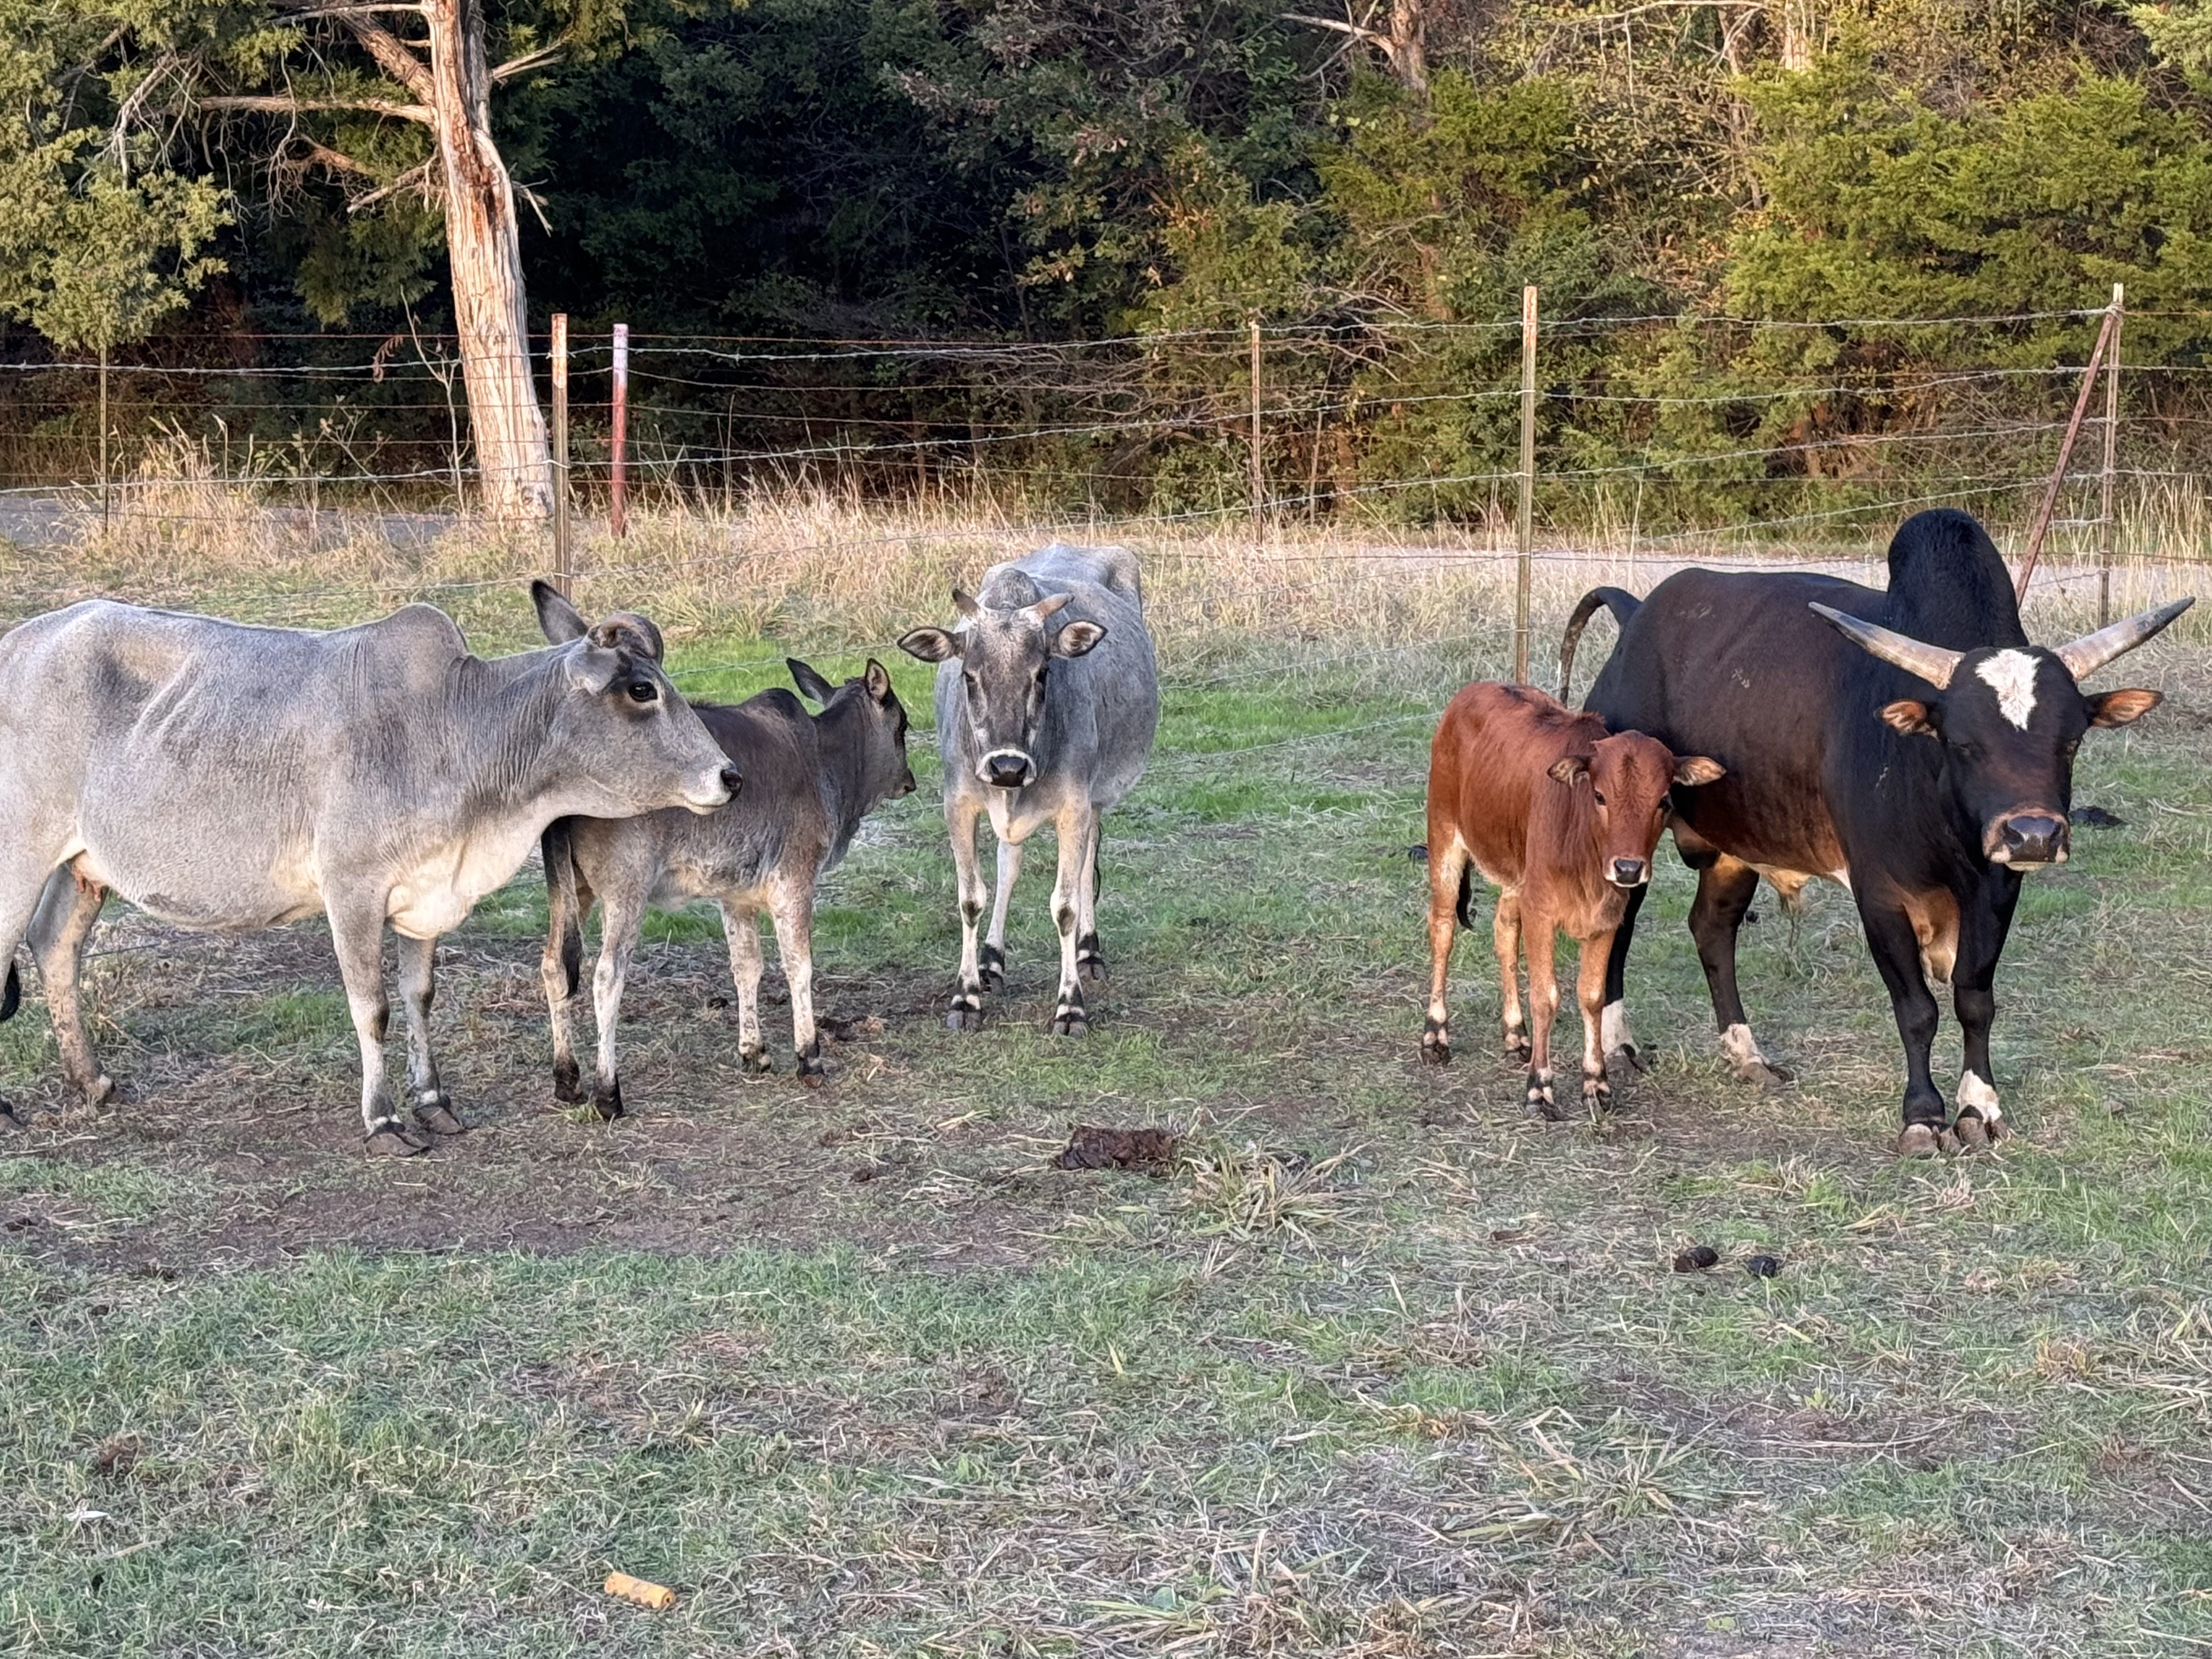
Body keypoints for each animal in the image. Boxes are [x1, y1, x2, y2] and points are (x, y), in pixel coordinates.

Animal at [0, 584, 743, 1159]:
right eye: (641, 690)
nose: (730, 776)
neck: (455, 727)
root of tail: (17, 641)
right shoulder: (352, 890)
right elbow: (373, 1006)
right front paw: (384, 1120)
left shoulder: (427, 891)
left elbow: (419, 995)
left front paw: (434, 1101)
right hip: (20, 852)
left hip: (82, 867)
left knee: (55, 946)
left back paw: (92, 1082)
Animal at [537, 654, 916, 1119]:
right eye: (902, 725)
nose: (910, 781)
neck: (828, 764)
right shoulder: (794, 879)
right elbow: (799, 966)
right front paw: (809, 1057)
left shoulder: (736, 895)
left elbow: (746, 965)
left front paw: (754, 1051)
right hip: (625, 889)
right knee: (607, 977)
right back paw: (608, 1093)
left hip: (570, 890)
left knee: (554, 967)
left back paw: (567, 1078)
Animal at [893, 546, 1159, 1040]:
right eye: (969, 676)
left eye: (1042, 673)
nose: (1007, 766)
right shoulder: (958, 803)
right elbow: (971, 897)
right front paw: (967, 994)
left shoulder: (1075, 806)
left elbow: (1067, 904)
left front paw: (1070, 1006)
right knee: (1009, 863)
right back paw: (991, 961)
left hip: (1097, 797)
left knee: (1088, 858)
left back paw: (1089, 952)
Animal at [1415, 681, 1725, 1124]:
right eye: (1599, 795)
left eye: (1664, 800)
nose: (1628, 869)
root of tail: (1473, 691)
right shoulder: (1542, 913)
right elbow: (1546, 996)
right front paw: (1539, 1088)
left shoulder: (1606, 920)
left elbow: (1592, 997)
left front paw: (1596, 1083)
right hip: (1444, 837)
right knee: (1442, 928)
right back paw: (1435, 1035)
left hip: (1516, 877)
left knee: (1504, 932)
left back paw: (1516, 1035)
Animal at [1566, 511, 2185, 1159]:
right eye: (1962, 742)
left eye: (2071, 741)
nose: (2033, 835)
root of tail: (1637, 612)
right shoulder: (1880, 894)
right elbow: (1916, 1009)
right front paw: (1923, 1116)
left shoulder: (1996, 890)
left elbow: (1974, 999)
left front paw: (1980, 1106)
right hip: (1630, 838)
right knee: (1620, 927)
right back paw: (1619, 1046)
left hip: (1737, 844)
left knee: (1713, 930)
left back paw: (1747, 1054)